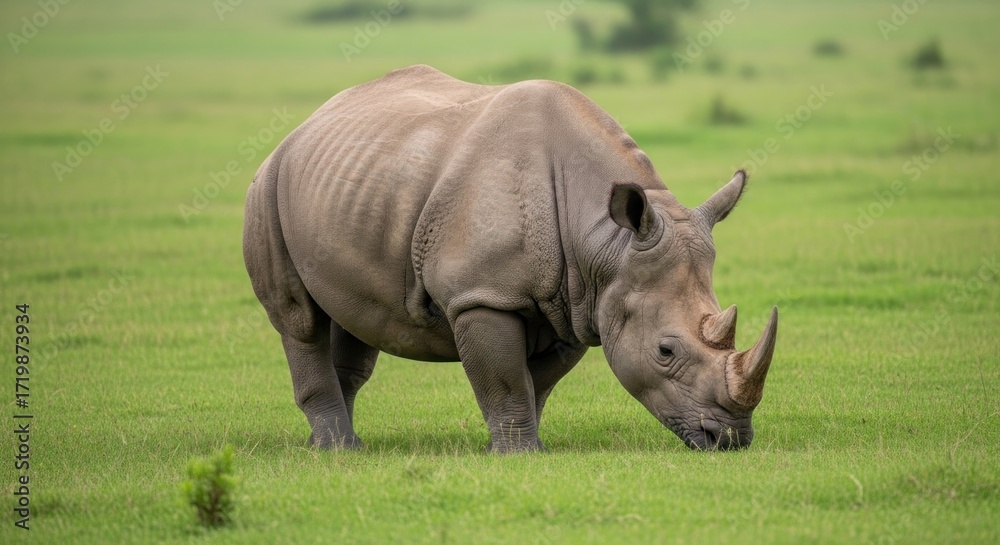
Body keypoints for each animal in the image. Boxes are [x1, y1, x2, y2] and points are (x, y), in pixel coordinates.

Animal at [243, 65, 778, 453]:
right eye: (666, 351)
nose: (730, 439)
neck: (607, 244)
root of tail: (305, 125)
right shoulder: (482, 294)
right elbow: (504, 378)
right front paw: (516, 454)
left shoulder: (580, 300)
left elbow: (535, 381)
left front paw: (526, 445)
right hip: (266, 184)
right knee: (300, 320)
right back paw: (337, 449)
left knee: (353, 319)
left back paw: (337, 446)